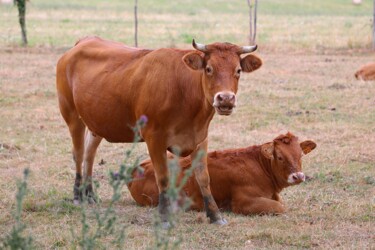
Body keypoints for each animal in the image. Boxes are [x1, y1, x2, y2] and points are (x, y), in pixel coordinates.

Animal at [55, 35, 262, 225]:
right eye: (209, 69)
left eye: (238, 70)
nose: (225, 99)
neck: (183, 90)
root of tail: (84, 41)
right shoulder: (154, 138)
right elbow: (162, 178)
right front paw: (164, 216)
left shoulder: (200, 137)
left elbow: (204, 177)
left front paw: (215, 215)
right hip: (72, 115)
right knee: (79, 153)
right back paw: (77, 195)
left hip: (97, 122)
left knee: (89, 154)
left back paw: (89, 194)